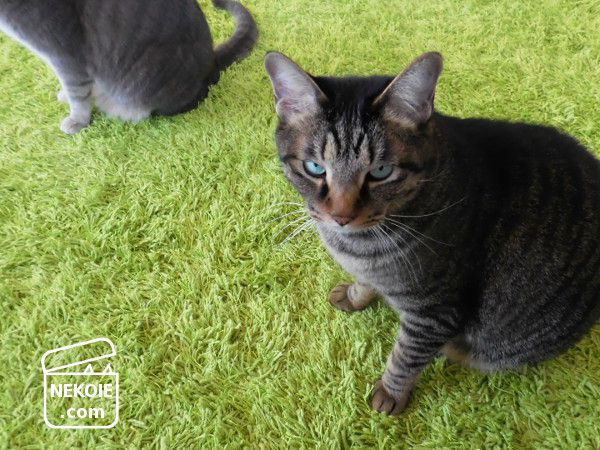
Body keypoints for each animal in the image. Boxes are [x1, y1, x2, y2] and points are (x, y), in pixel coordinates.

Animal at [265, 51, 600, 415]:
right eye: (315, 168)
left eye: (381, 172)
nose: (341, 217)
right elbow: (365, 283)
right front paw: (354, 296)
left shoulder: (435, 312)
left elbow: (405, 357)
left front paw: (391, 393)